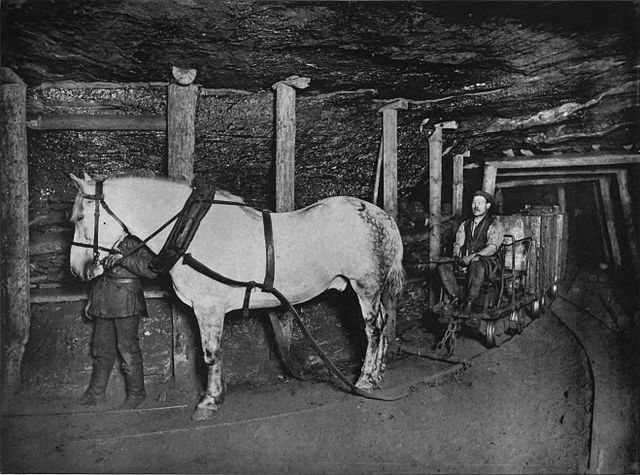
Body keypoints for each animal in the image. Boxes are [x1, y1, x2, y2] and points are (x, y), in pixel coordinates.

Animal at [70, 174, 404, 420]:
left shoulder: (209, 308)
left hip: (365, 287)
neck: (192, 230)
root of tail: (383, 217)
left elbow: (211, 353)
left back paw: (365, 379)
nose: (76, 269)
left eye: (80, 217)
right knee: (383, 323)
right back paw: (378, 374)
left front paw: (208, 401)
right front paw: (216, 394)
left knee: (373, 330)